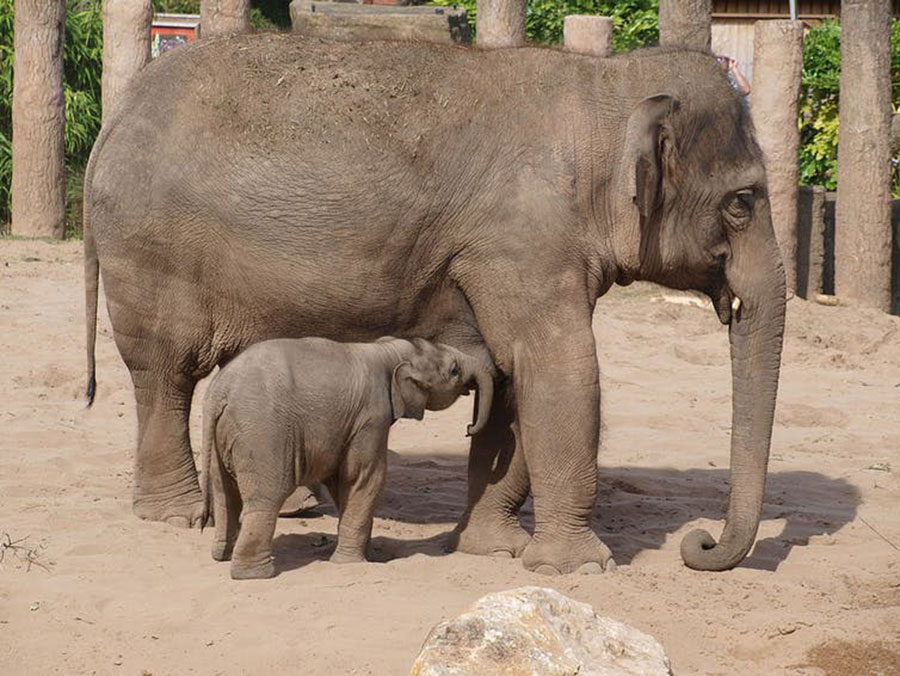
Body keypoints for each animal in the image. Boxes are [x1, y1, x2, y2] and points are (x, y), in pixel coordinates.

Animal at [201, 336, 492, 579]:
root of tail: (219, 392)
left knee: (225, 496)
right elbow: (364, 476)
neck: (389, 350)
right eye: (454, 371)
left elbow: (340, 482)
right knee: (264, 499)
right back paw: (255, 574)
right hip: (262, 435)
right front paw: (350, 562)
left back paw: (221, 556)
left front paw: (368, 554)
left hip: (221, 439)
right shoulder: (371, 417)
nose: (469, 428)